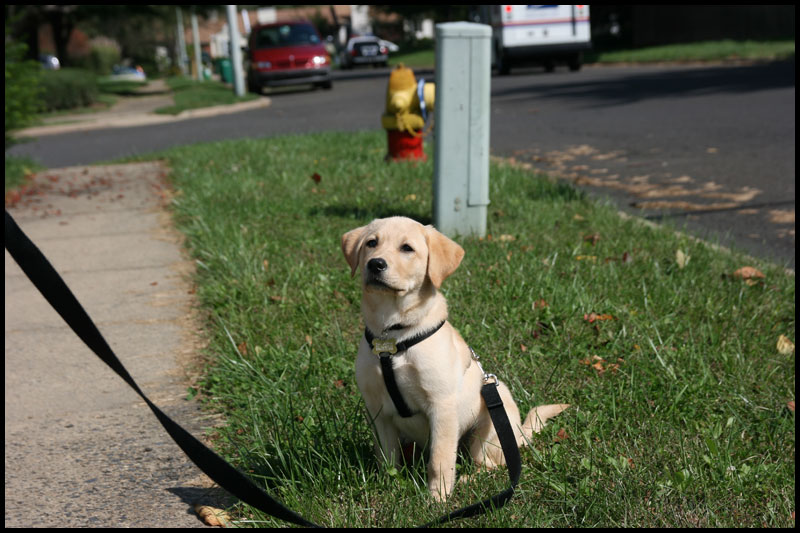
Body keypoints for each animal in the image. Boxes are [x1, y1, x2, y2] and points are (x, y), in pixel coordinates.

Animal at [340, 215, 564, 498]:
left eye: (407, 248)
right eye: (371, 243)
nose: (375, 263)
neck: (393, 336)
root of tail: (519, 434)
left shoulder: (441, 406)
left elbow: (440, 459)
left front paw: (438, 497)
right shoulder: (377, 410)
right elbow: (386, 456)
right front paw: (388, 485)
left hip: (490, 424)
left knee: (488, 465)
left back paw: (468, 481)